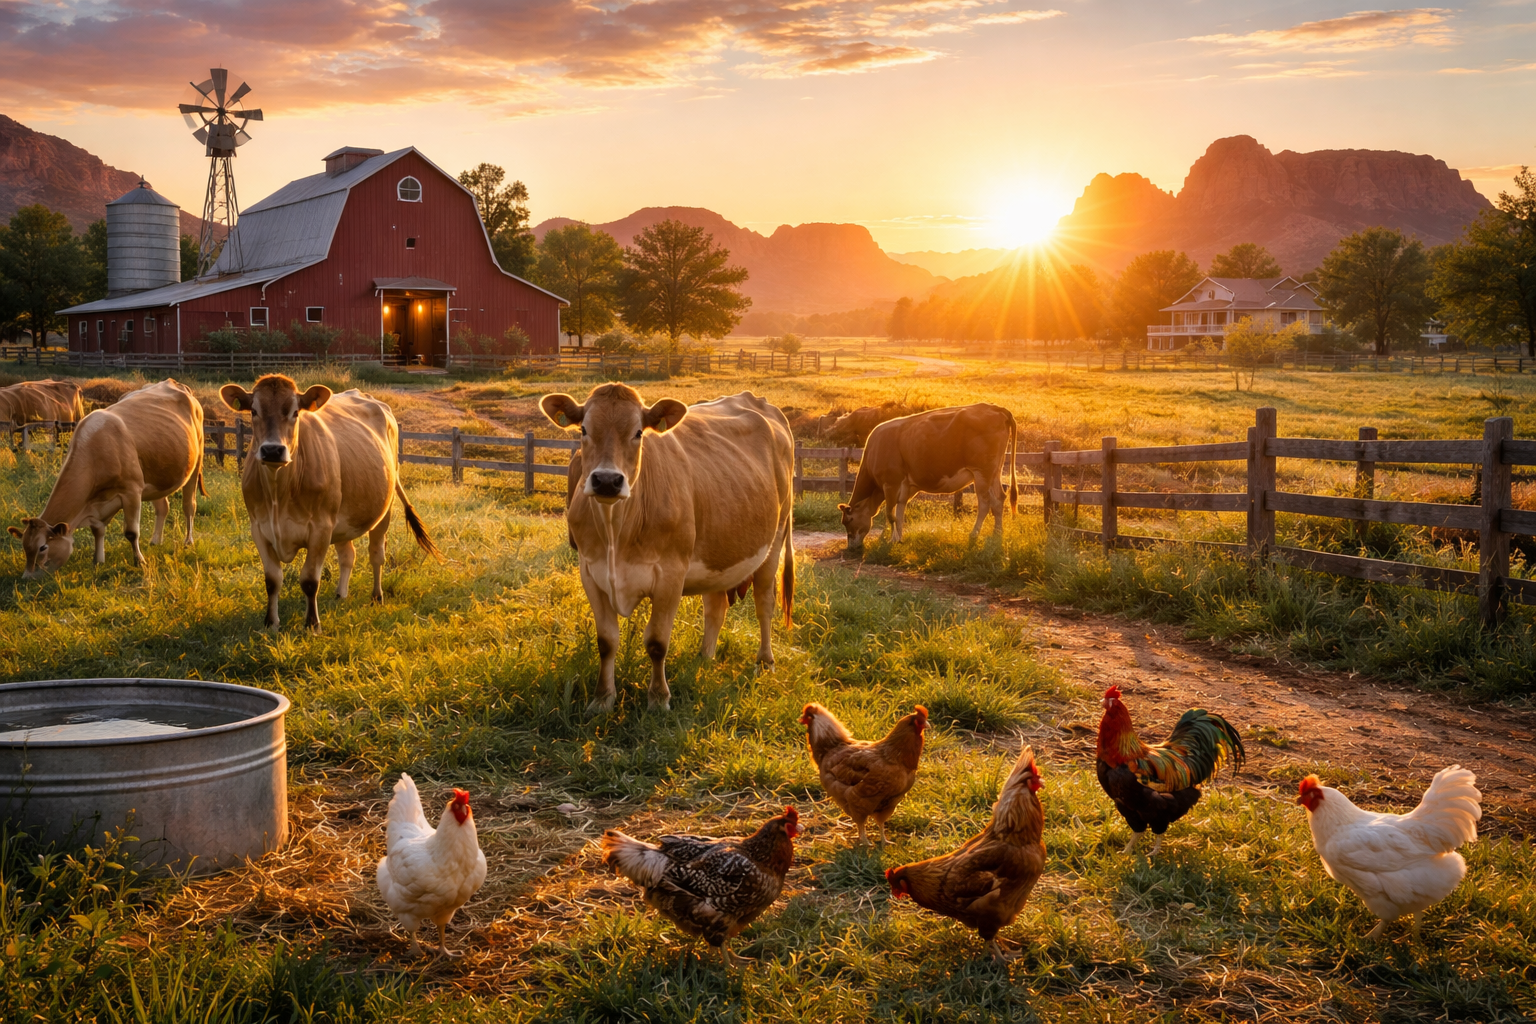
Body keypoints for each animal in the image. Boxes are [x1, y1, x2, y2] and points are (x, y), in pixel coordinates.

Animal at [8, 379, 204, 576]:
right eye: (24, 547)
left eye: (43, 547)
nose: (27, 577)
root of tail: (173, 382)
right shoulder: (99, 503)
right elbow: (97, 530)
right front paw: (98, 561)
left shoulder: (132, 491)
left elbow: (131, 532)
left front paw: (139, 561)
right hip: (156, 475)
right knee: (163, 507)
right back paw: (156, 540)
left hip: (196, 461)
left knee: (189, 506)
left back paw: (188, 541)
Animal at [219, 374, 440, 631]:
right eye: (254, 411)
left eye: (295, 412)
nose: (272, 450)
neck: (278, 493)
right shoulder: (259, 528)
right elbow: (272, 580)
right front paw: (271, 623)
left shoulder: (321, 528)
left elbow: (309, 581)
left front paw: (312, 624)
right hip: (342, 519)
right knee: (348, 555)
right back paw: (340, 594)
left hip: (383, 510)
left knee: (376, 554)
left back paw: (377, 596)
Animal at [542, 385, 795, 713]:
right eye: (584, 429)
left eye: (638, 432)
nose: (607, 481)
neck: (615, 533)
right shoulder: (590, 572)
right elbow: (606, 641)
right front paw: (602, 699)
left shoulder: (671, 575)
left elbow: (657, 642)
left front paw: (659, 699)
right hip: (717, 552)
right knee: (716, 606)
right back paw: (704, 658)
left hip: (775, 540)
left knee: (764, 603)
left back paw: (765, 662)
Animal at [839, 403, 1017, 554]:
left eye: (849, 520)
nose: (851, 546)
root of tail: (996, 408)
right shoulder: (906, 487)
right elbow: (900, 511)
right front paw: (898, 538)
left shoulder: (890, 483)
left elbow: (890, 514)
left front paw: (891, 539)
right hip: (994, 472)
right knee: (998, 500)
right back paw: (997, 535)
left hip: (981, 472)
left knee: (985, 503)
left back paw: (974, 534)